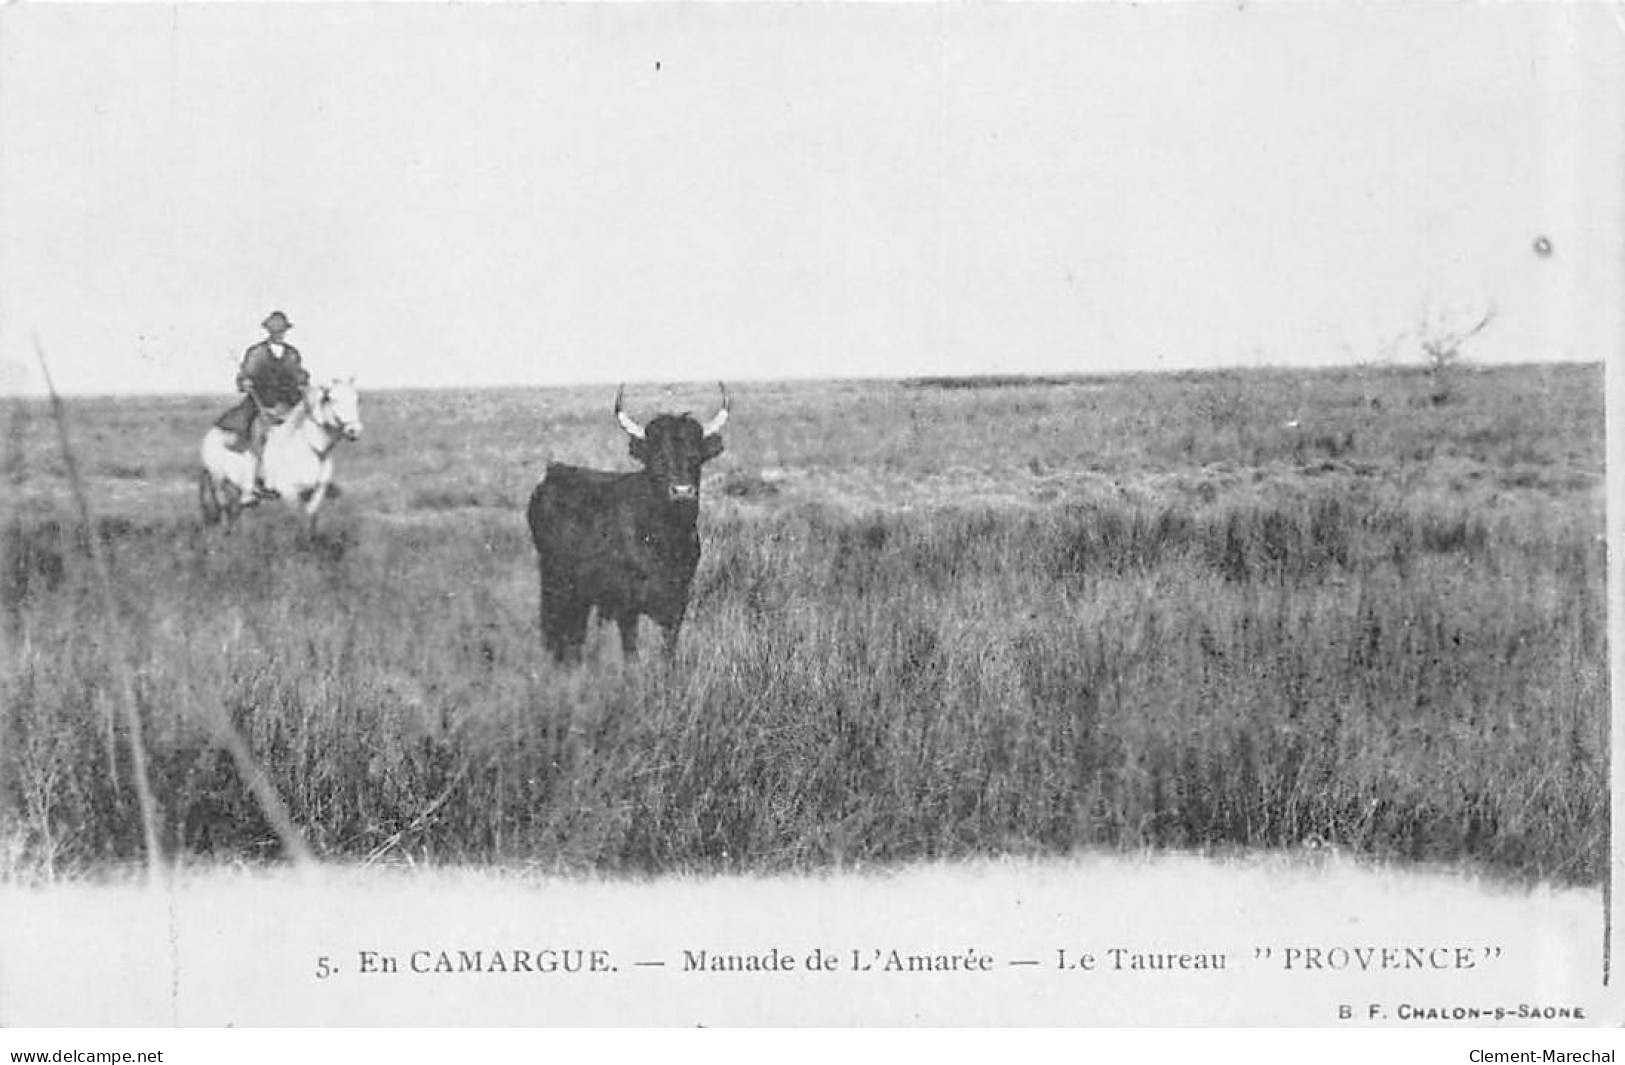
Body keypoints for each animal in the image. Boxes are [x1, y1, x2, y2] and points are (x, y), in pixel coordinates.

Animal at [198, 378, 364, 536]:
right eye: (331, 399)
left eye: (356, 399)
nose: (354, 430)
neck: (312, 450)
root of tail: (213, 431)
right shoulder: (290, 494)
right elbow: (296, 520)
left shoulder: (317, 492)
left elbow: (310, 517)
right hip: (217, 480)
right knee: (223, 507)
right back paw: (226, 534)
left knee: (240, 508)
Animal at [526, 386, 731, 663]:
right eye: (658, 459)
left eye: (695, 458)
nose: (682, 491)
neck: (666, 540)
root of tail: (555, 471)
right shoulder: (627, 606)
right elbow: (631, 653)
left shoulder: (677, 604)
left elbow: (668, 653)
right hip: (554, 580)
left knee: (576, 631)